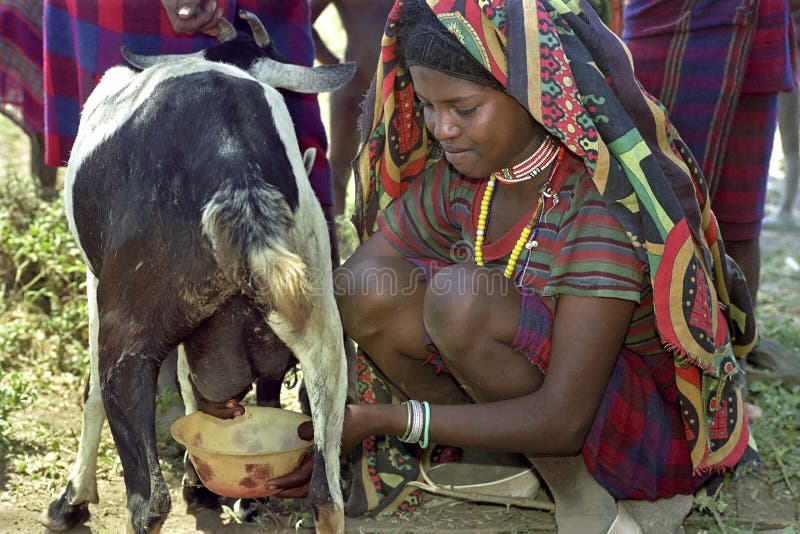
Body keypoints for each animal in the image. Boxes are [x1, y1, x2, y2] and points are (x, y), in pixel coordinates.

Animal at [37, 13, 354, 534]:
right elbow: (199, 387)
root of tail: (236, 172)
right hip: (322, 329)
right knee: (326, 495)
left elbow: (93, 393)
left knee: (147, 499)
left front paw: (73, 499)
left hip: (127, 332)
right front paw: (206, 484)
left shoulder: (95, 281)